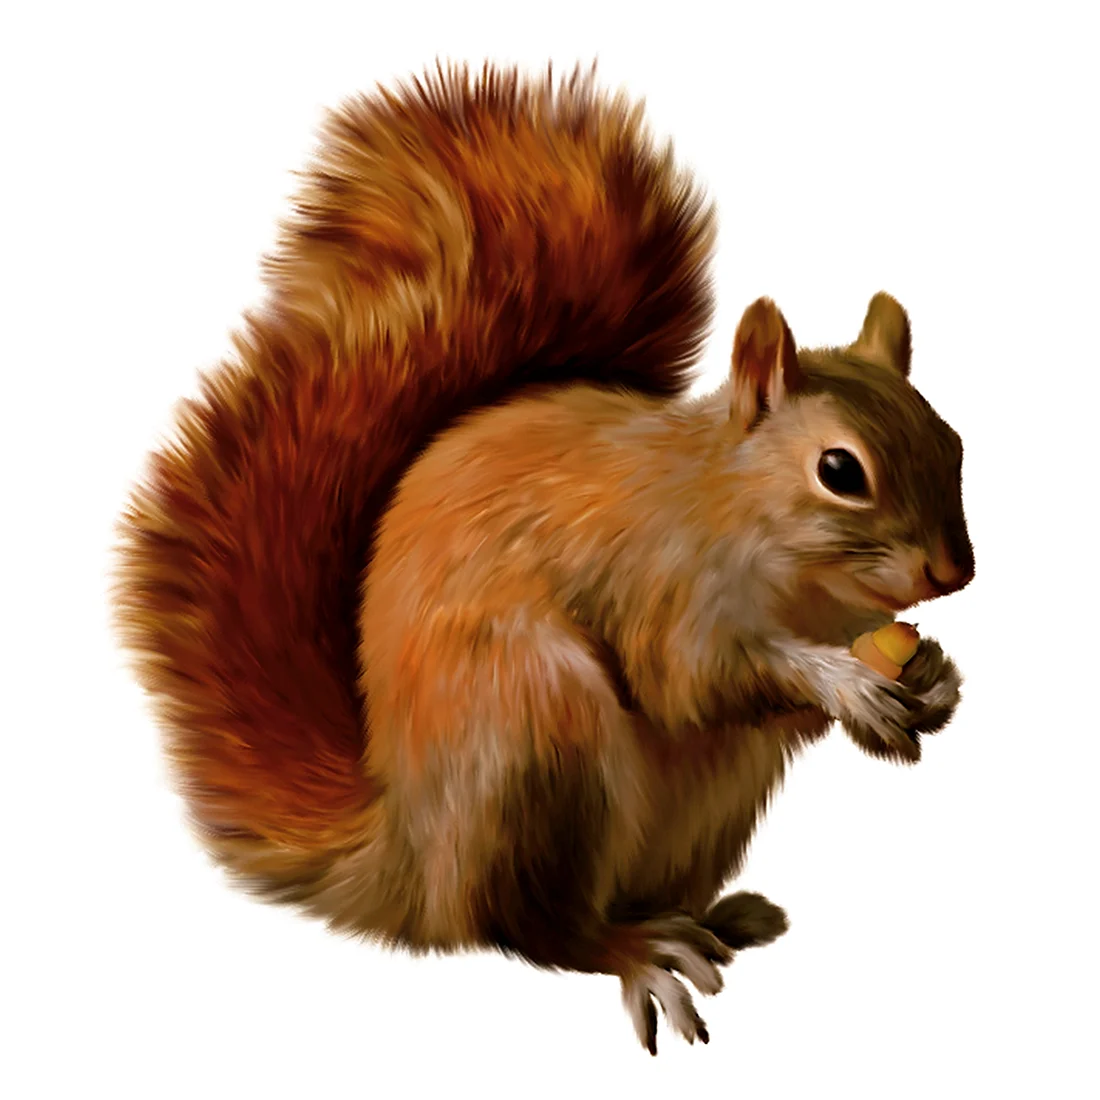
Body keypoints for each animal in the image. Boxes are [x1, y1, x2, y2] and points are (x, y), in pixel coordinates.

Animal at [114, 62, 974, 1055]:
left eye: (951, 441)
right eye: (840, 471)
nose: (954, 575)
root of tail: (415, 863)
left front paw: (933, 678)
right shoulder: (658, 580)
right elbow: (693, 679)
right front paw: (844, 683)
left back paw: (721, 919)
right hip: (537, 738)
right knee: (537, 931)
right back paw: (638, 951)